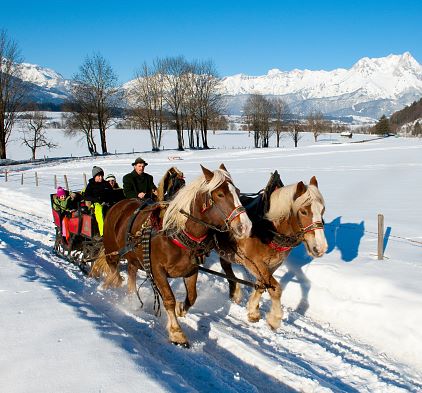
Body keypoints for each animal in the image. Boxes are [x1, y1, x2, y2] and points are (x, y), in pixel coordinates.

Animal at [90, 164, 252, 344]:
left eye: (237, 191)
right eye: (220, 194)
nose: (245, 226)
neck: (175, 232)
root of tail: (118, 205)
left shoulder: (190, 270)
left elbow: (192, 296)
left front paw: (181, 309)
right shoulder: (157, 271)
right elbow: (168, 299)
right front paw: (177, 332)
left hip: (133, 258)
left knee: (131, 273)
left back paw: (132, 297)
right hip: (112, 253)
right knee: (115, 275)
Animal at [216, 175, 328, 330]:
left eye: (322, 210)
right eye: (303, 211)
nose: (320, 247)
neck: (268, 228)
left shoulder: (273, 264)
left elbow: (263, 285)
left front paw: (253, 311)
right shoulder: (253, 261)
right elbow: (275, 289)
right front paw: (274, 319)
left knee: (225, 265)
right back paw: (235, 292)